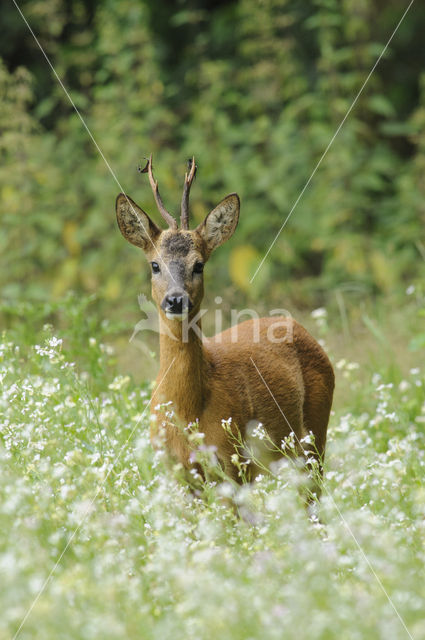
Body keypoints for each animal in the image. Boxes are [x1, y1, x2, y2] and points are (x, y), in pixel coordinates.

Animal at [114, 155, 332, 484]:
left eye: (199, 265)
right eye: (154, 265)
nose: (176, 300)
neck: (187, 411)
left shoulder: (232, 464)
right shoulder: (175, 472)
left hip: (315, 434)